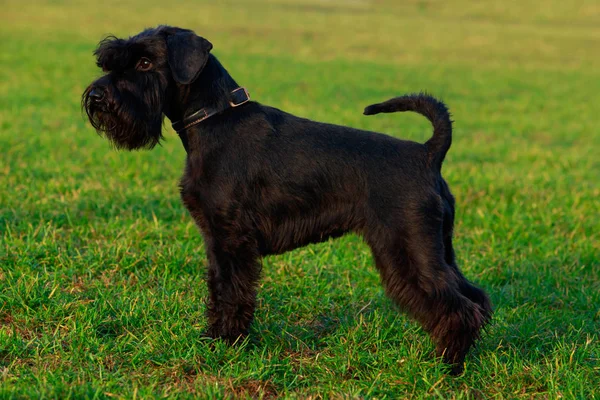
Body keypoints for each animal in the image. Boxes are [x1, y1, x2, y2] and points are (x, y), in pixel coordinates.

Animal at [82, 26, 490, 374]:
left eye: (145, 63)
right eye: (109, 62)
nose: (97, 96)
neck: (214, 120)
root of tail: (427, 154)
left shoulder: (231, 238)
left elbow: (231, 291)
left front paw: (225, 343)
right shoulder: (217, 239)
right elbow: (218, 288)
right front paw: (214, 337)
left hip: (408, 249)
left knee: (458, 307)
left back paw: (446, 364)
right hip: (437, 247)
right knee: (476, 298)